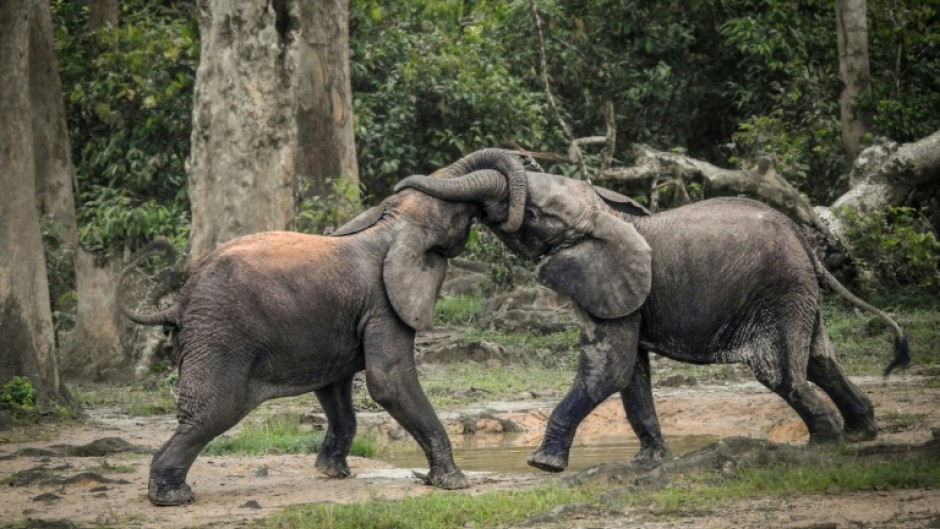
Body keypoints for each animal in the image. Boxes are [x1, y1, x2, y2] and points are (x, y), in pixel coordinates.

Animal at [117, 188, 484, 506]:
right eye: (457, 220)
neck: (391, 224)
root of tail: (180, 299)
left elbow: (335, 387)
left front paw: (333, 473)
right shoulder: (383, 304)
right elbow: (388, 381)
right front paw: (455, 483)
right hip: (220, 336)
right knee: (214, 410)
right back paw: (173, 497)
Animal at [395, 148, 910, 473]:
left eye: (537, 214)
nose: (401, 185)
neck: (610, 215)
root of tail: (808, 245)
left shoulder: (611, 285)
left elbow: (609, 367)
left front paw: (542, 465)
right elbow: (631, 374)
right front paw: (649, 462)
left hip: (779, 291)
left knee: (782, 373)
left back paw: (822, 445)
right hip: (799, 293)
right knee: (821, 360)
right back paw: (861, 434)